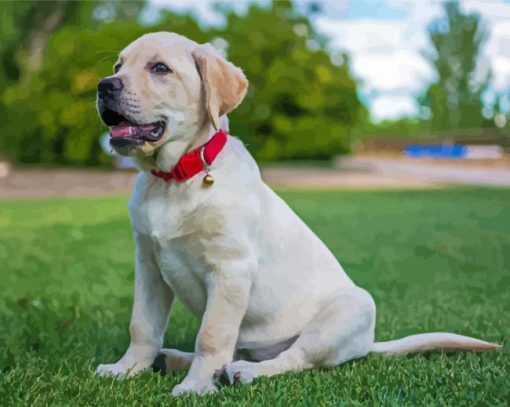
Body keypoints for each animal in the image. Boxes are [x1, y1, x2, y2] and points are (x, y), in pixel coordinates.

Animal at [94, 32, 498, 398]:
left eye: (160, 68)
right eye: (117, 67)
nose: (103, 86)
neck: (176, 178)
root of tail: (367, 344)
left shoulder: (231, 270)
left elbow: (211, 335)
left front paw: (196, 386)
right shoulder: (150, 265)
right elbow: (142, 326)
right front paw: (126, 369)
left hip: (351, 309)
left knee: (292, 358)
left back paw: (240, 372)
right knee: (237, 349)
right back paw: (174, 358)